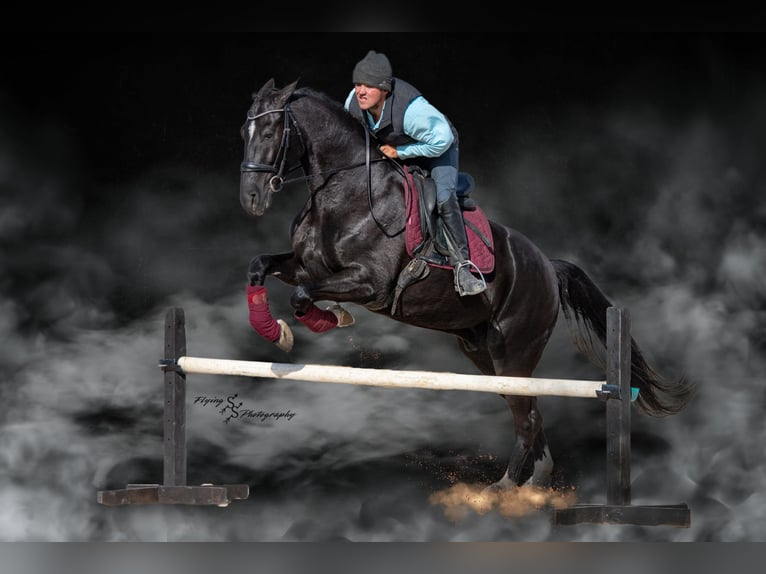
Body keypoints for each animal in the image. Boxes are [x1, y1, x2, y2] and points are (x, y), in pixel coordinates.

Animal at [239, 78, 695, 490]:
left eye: (269, 132)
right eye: (244, 133)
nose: (250, 199)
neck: (343, 190)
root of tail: (548, 267)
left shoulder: (371, 284)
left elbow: (303, 296)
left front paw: (324, 319)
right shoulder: (305, 266)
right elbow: (262, 267)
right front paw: (279, 330)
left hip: (515, 349)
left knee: (526, 415)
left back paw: (506, 488)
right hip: (482, 352)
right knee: (527, 408)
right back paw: (536, 481)